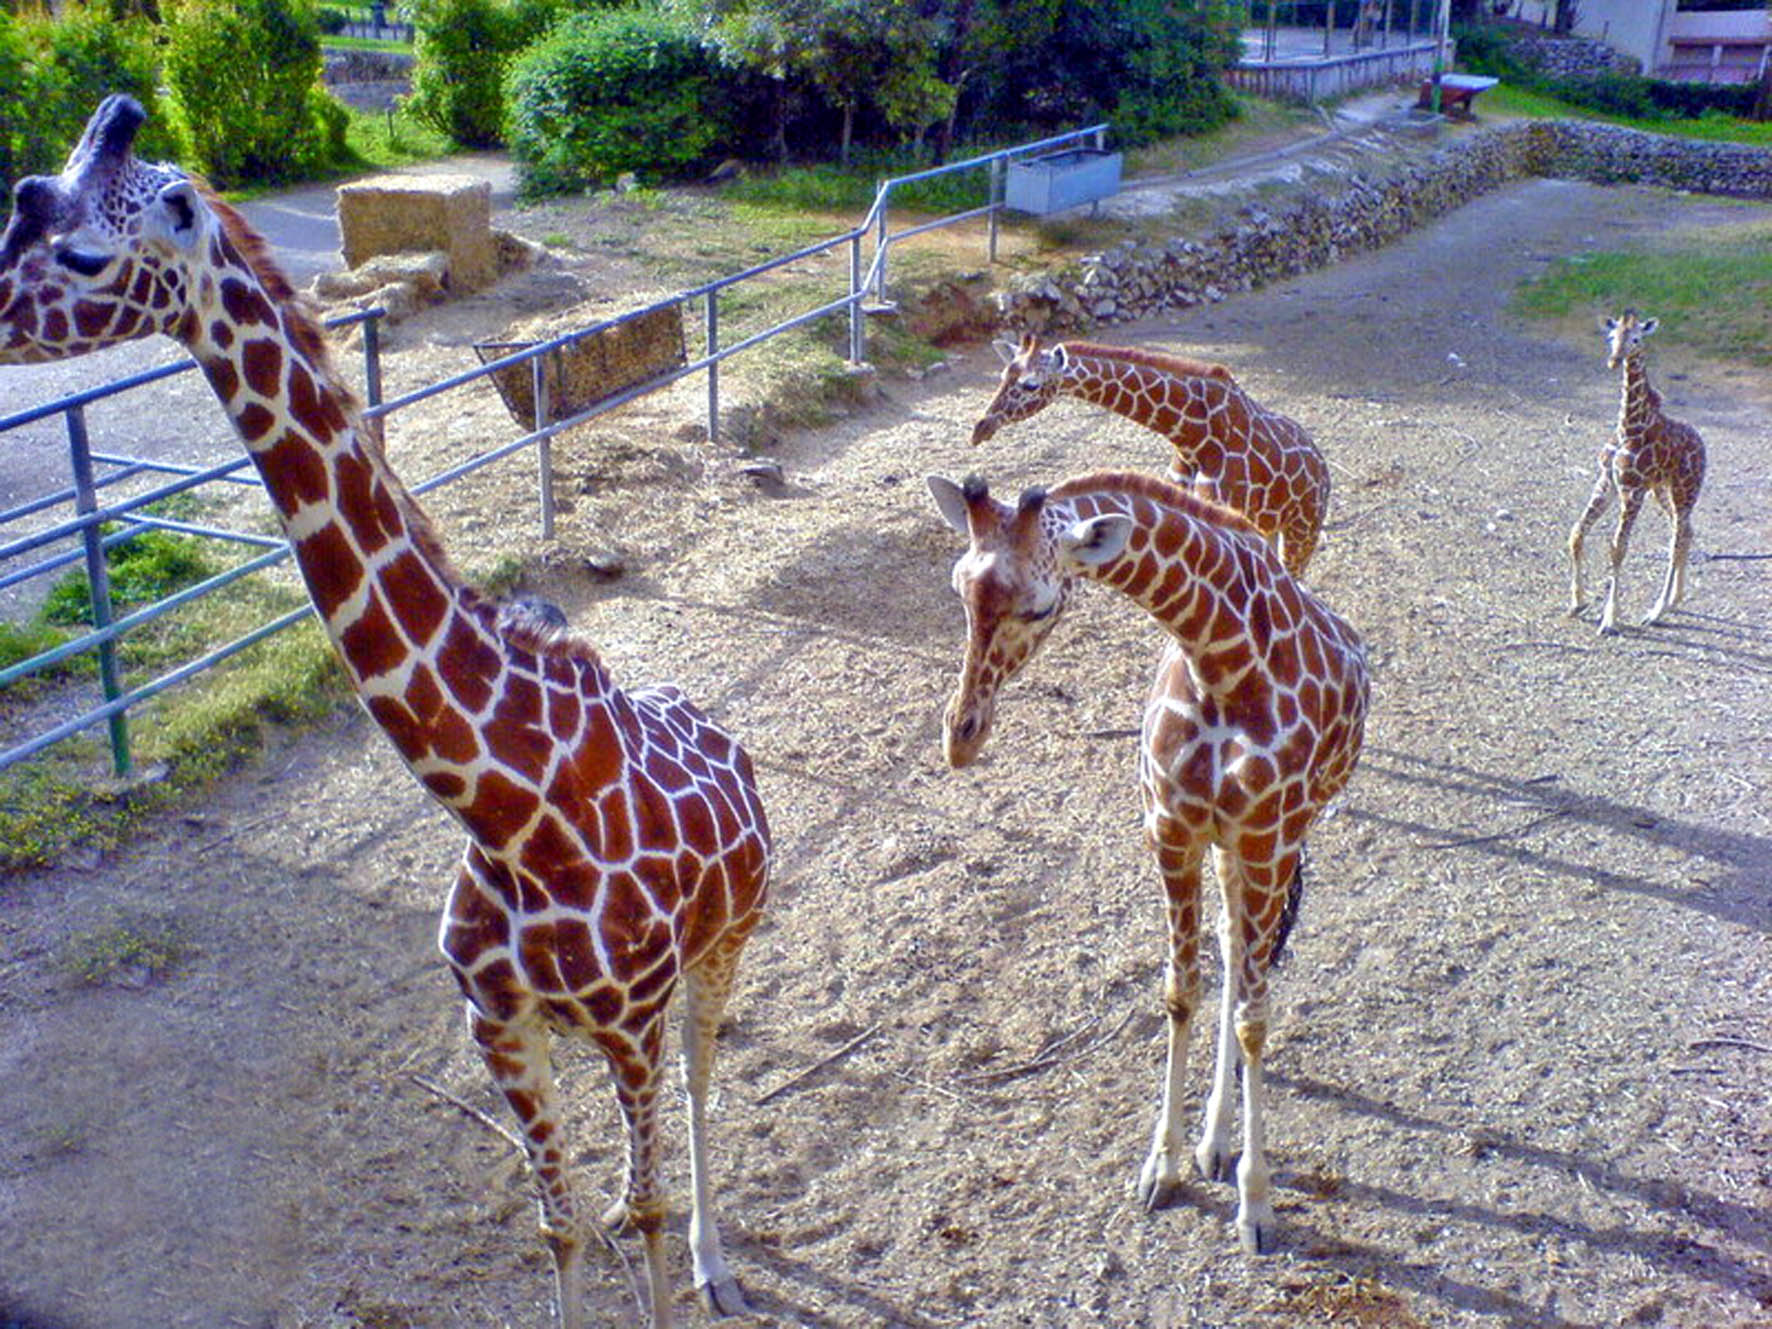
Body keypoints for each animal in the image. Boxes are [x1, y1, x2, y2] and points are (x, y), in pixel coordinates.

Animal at [3, 96, 772, 1329]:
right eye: (18, 209)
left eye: (78, 252)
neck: (514, 815)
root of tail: (725, 735)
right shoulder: (497, 1025)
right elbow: (558, 1224)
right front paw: (588, 1225)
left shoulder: (627, 1017)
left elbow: (647, 1208)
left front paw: (677, 1254)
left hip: (724, 942)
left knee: (704, 1082)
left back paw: (717, 1261)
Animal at [928, 471, 1367, 1261]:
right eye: (959, 588)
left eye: (1039, 606)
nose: (961, 737)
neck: (1220, 659)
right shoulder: (1171, 831)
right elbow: (1180, 992)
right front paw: (1163, 1164)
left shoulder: (1266, 836)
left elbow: (1254, 1018)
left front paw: (1256, 1204)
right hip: (1226, 847)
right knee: (1230, 945)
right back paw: (1212, 1140)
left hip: (1281, 838)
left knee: (1249, 960)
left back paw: (1224, 1145)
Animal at [971, 333, 1332, 577]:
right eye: (1003, 376)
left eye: (1030, 385)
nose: (980, 427)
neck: (1193, 436)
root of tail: (1322, 466)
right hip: (1269, 526)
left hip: (1303, 530)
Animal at [1573, 317, 1708, 641]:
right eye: (1611, 337)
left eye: (1635, 339)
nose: (1613, 360)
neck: (1628, 427)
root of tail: (1702, 443)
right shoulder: (1607, 482)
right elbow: (1578, 532)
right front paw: (1577, 602)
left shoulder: (1632, 491)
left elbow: (1617, 548)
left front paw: (1610, 619)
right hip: (1662, 491)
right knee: (1685, 532)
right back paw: (1674, 601)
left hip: (1686, 488)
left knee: (1677, 538)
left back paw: (1656, 611)